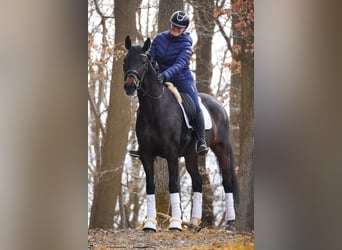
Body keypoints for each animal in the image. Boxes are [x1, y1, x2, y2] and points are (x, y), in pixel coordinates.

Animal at [123, 35, 238, 232]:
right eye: (125, 60)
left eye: (143, 62)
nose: (130, 86)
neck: (155, 108)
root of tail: (218, 105)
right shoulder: (146, 154)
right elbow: (150, 185)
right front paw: (150, 225)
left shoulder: (171, 154)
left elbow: (173, 183)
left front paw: (175, 224)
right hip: (191, 154)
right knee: (198, 182)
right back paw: (193, 222)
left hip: (221, 149)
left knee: (227, 182)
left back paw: (230, 223)